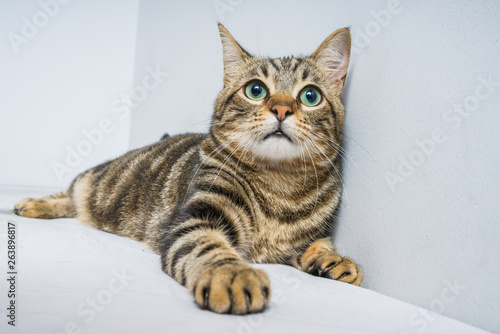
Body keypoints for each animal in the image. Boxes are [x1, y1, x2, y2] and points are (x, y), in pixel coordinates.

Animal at [13, 24, 362, 314]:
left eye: (310, 95)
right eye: (256, 90)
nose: (281, 109)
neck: (280, 186)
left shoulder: (304, 239)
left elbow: (320, 244)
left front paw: (337, 261)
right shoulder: (195, 219)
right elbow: (209, 248)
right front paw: (232, 274)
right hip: (94, 180)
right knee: (70, 194)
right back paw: (32, 204)